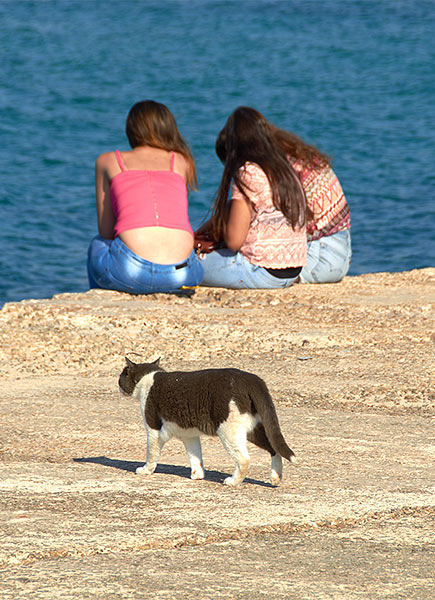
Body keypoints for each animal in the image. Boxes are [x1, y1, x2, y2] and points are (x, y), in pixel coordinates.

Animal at [119, 358, 296, 486]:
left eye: (122, 375)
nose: (119, 384)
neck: (147, 378)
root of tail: (251, 379)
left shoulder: (153, 429)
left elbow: (151, 452)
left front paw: (145, 470)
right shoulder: (189, 434)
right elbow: (195, 455)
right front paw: (197, 475)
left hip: (228, 430)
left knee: (244, 459)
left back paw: (233, 482)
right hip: (254, 428)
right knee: (274, 448)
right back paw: (276, 477)